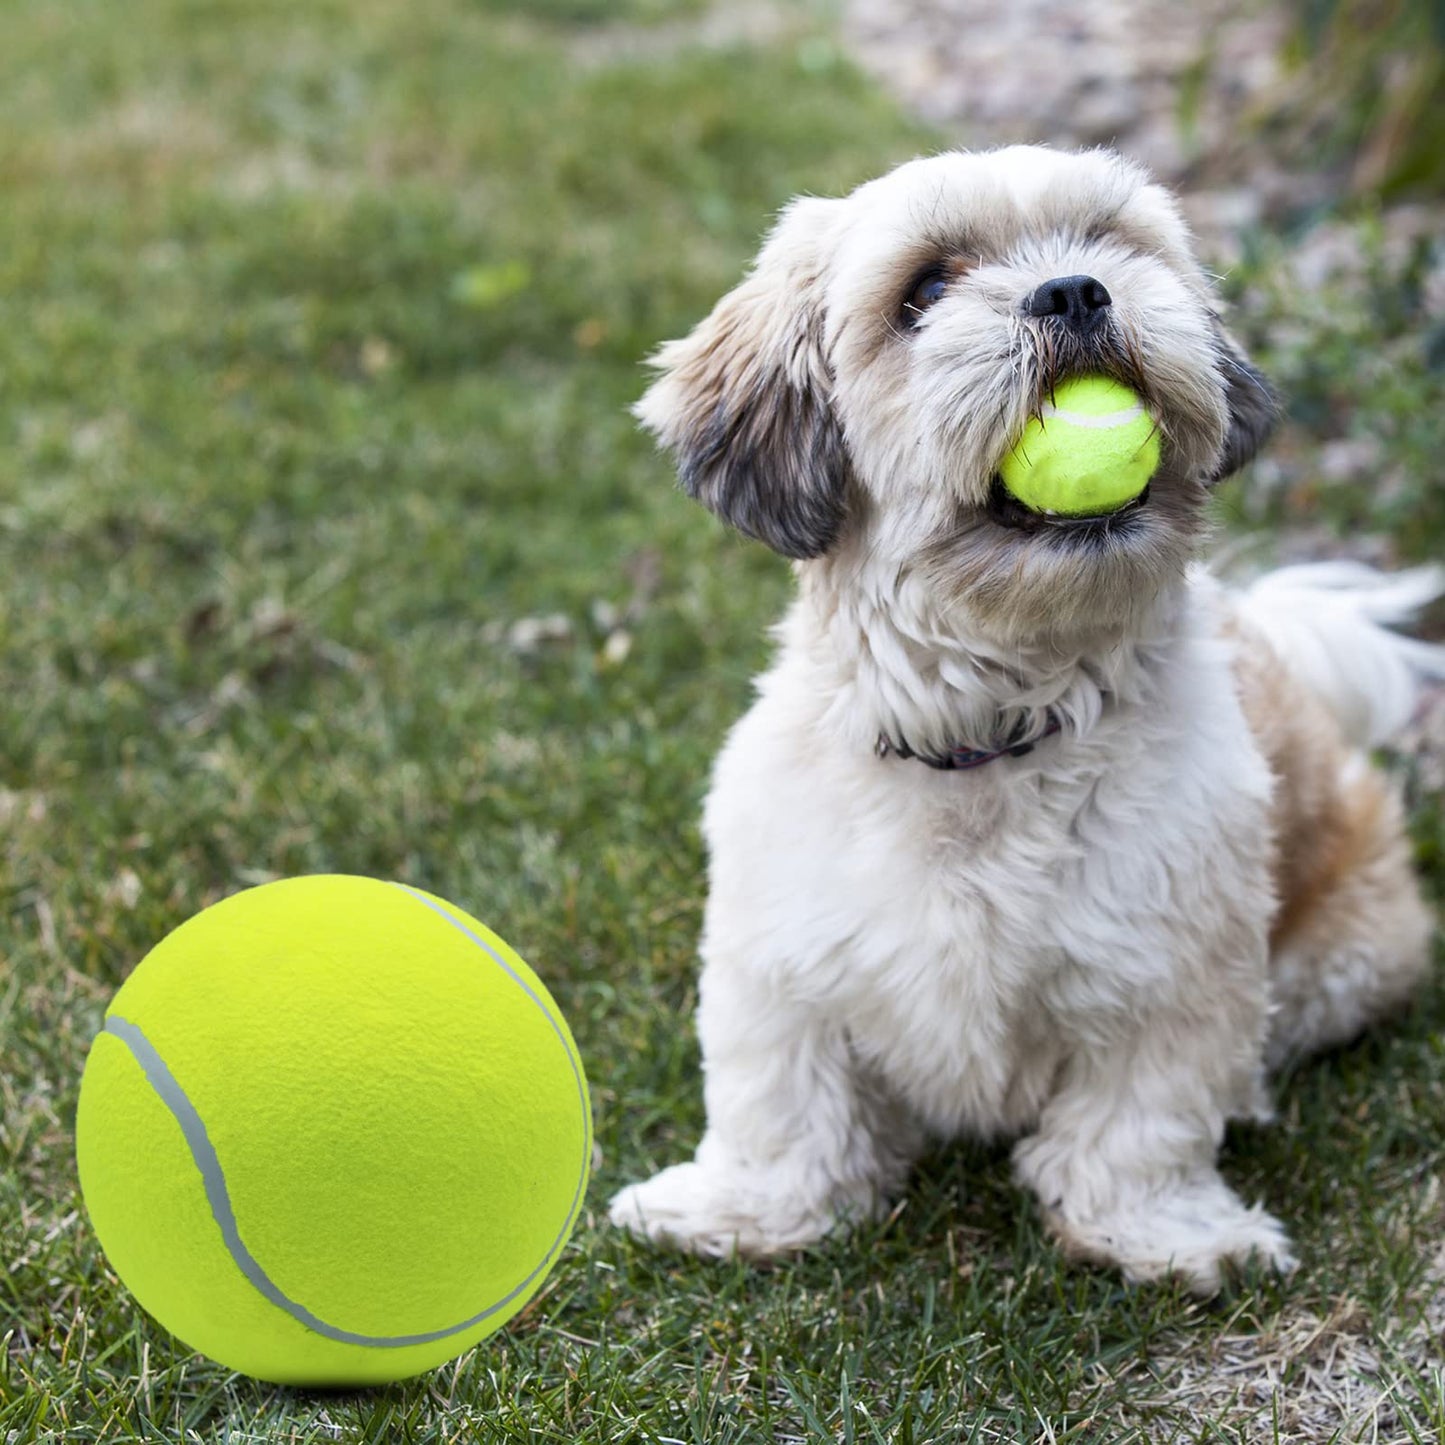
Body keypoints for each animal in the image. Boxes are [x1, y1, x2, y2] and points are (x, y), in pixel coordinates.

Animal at [604, 146, 1439, 1294]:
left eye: (1105, 243)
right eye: (921, 291)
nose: (1073, 290)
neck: (990, 727)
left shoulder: (1172, 969)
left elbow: (1143, 1120)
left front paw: (1161, 1232)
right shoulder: (779, 957)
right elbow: (780, 1100)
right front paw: (743, 1208)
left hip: (1342, 957)